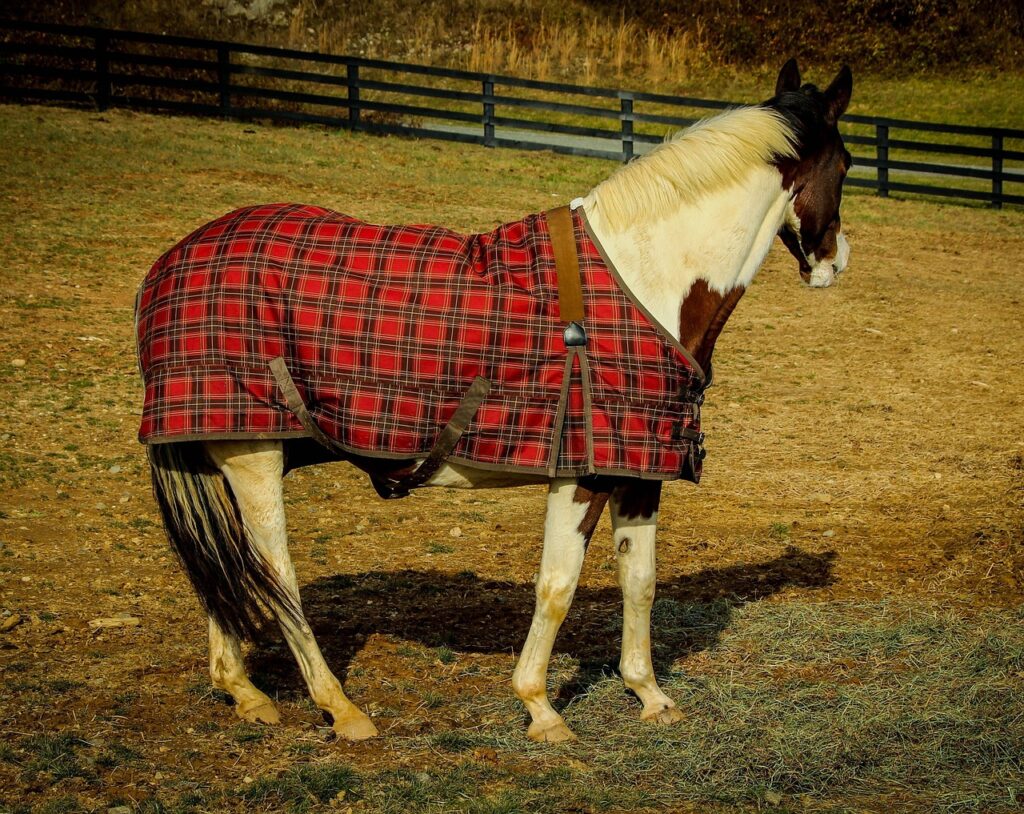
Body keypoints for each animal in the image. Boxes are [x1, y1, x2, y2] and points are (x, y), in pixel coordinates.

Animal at [138, 59, 852, 744]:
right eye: (846, 167)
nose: (833, 262)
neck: (645, 278)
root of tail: (171, 262)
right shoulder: (583, 474)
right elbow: (558, 588)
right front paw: (540, 708)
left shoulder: (638, 471)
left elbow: (640, 581)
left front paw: (649, 695)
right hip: (252, 454)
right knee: (273, 574)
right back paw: (340, 708)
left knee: (222, 567)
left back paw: (245, 692)